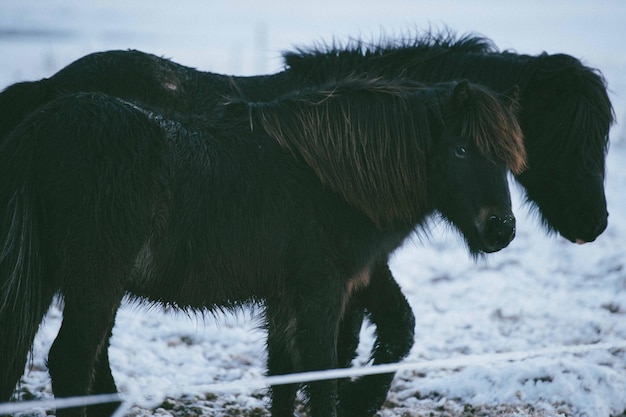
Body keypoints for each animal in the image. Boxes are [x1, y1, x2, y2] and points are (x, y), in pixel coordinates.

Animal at [0, 30, 612, 414]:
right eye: (563, 137)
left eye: (513, 153)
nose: (598, 223)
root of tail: (45, 104)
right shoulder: (330, 281)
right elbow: (342, 358)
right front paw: (359, 403)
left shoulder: (314, 286)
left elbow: (302, 367)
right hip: (94, 279)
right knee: (73, 361)